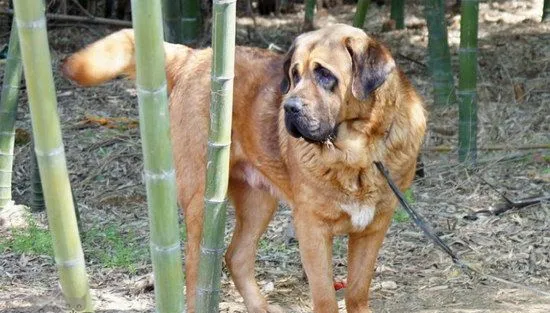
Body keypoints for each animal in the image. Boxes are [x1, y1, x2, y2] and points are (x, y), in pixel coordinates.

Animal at [62, 24, 430, 312]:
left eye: (325, 75)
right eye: (294, 75)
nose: (289, 107)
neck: (358, 152)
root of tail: (196, 56)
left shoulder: (373, 228)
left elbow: (356, 292)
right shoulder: (312, 228)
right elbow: (325, 298)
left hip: (259, 201)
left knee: (236, 257)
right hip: (201, 202)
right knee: (196, 271)